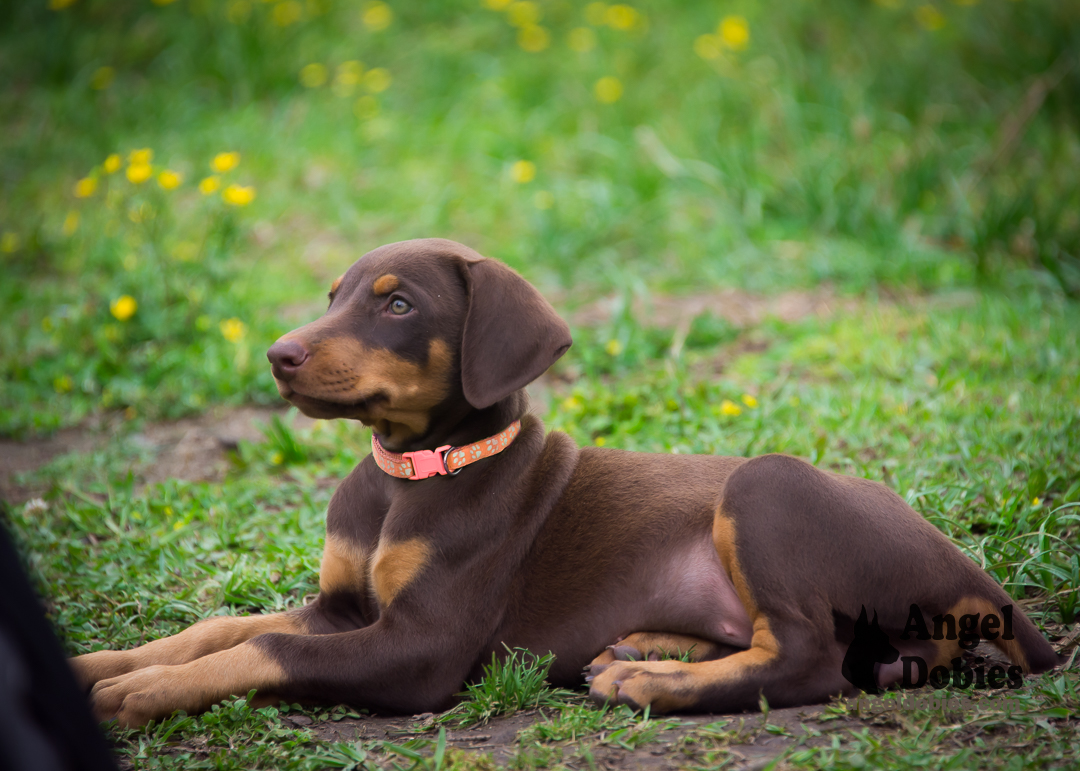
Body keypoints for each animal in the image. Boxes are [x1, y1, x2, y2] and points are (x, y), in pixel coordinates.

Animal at [71, 237, 1058, 725]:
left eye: (398, 304)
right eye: (334, 297)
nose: (278, 355)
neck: (407, 474)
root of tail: (982, 582)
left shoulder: (420, 646)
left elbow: (267, 649)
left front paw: (135, 696)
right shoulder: (346, 606)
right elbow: (217, 628)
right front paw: (99, 665)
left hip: (767, 487)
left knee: (811, 658)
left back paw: (649, 682)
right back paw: (649, 651)